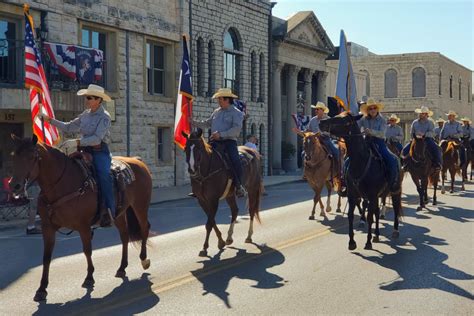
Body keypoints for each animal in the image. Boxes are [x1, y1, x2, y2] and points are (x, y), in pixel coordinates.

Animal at [9, 134, 152, 302]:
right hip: (119, 214)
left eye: (32, 157)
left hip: (140, 206)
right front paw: (42, 289)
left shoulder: (83, 226)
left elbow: (87, 251)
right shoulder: (47, 228)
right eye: (14, 156)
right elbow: (46, 257)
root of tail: (138, 161)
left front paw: (89, 277)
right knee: (124, 236)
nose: (15, 186)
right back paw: (122, 267)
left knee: (144, 228)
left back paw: (144, 259)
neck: (63, 185)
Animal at [318, 112, 404, 251]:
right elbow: (351, 215)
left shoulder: (372, 195)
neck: (361, 162)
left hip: (395, 191)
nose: (321, 122)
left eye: (344, 120)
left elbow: (369, 217)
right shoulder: (353, 195)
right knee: (377, 212)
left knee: (395, 208)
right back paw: (376, 234)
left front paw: (368, 242)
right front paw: (352, 242)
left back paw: (395, 231)